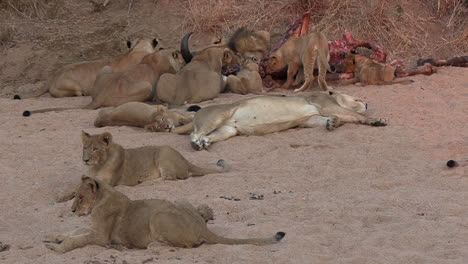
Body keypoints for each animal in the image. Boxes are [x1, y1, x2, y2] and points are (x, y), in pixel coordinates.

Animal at [45, 175, 286, 252]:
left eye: (80, 197)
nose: (72, 210)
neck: (100, 200)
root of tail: (201, 226)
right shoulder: (93, 228)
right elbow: (74, 231)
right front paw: (53, 237)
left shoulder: (100, 236)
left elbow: (76, 240)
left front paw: (57, 248)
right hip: (181, 200)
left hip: (158, 216)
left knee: (187, 245)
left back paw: (152, 245)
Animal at [56, 131, 229, 202]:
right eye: (85, 148)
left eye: (95, 149)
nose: (85, 160)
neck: (97, 165)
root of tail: (186, 161)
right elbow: (75, 188)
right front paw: (62, 197)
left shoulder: (107, 183)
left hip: (163, 154)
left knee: (171, 178)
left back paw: (145, 182)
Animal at [173, 91, 388, 151]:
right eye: (357, 98)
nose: (367, 102)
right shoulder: (326, 104)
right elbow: (356, 115)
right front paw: (377, 120)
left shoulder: (312, 119)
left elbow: (341, 119)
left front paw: (332, 124)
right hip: (218, 115)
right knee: (195, 133)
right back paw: (196, 143)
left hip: (228, 131)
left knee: (210, 136)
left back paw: (205, 143)